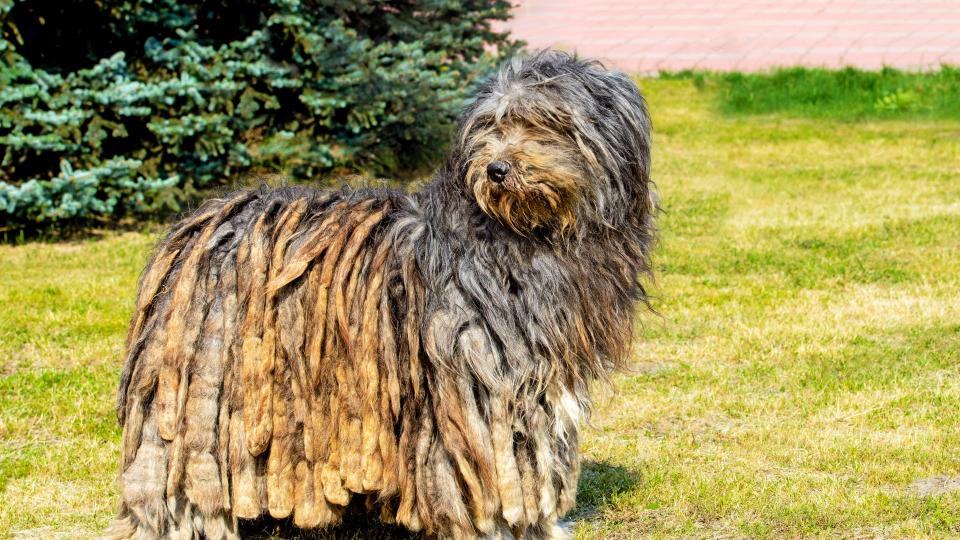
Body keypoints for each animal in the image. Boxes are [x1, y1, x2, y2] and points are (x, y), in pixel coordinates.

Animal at [109, 49, 656, 536]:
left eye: (545, 122)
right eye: (491, 126)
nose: (497, 169)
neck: (523, 233)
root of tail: (197, 227)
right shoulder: (476, 376)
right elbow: (496, 468)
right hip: (199, 385)